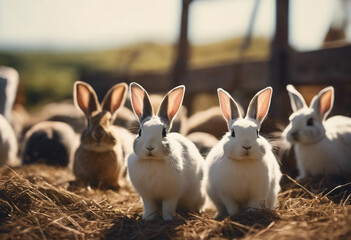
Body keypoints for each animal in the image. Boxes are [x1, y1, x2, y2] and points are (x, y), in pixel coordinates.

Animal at [128, 82, 206, 221]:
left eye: (164, 132)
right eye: (140, 132)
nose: (150, 147)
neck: (152, 161)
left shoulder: (171, 196)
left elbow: (168, 208)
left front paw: (168, 219)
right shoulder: (147, 197)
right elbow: (150, 207)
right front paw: (147, 218)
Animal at [208, 86, 282, 219]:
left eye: (257, 132)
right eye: (233, 133)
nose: (246, 146)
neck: (244, 161)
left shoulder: (257, 193)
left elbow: (253, 204)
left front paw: (251, 213)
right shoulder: (226, 194)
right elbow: (231, 206)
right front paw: (234, 215)